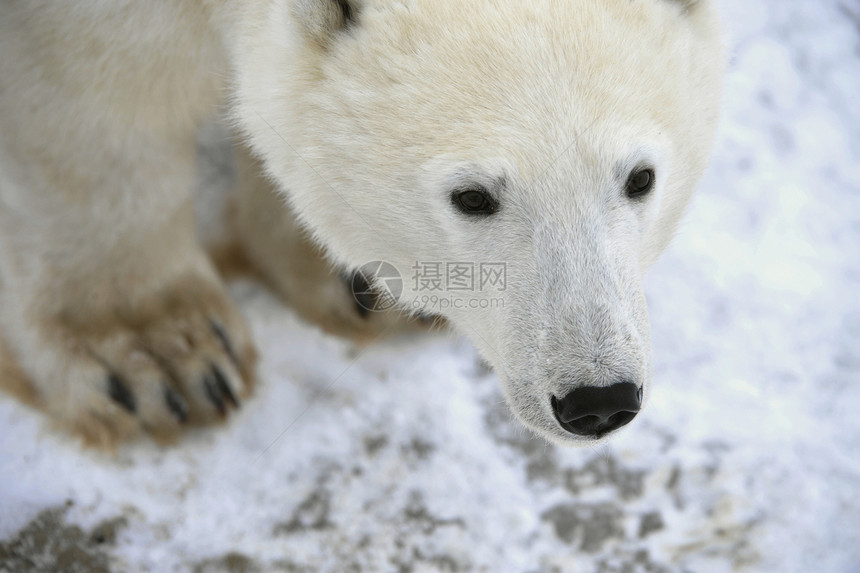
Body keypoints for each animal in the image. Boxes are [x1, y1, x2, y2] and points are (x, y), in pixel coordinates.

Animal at [0, 0, 724, 446]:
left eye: (640, 178)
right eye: (472, 197)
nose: (597, 398)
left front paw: (352, 283)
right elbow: (93, 107)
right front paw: (159, 358)